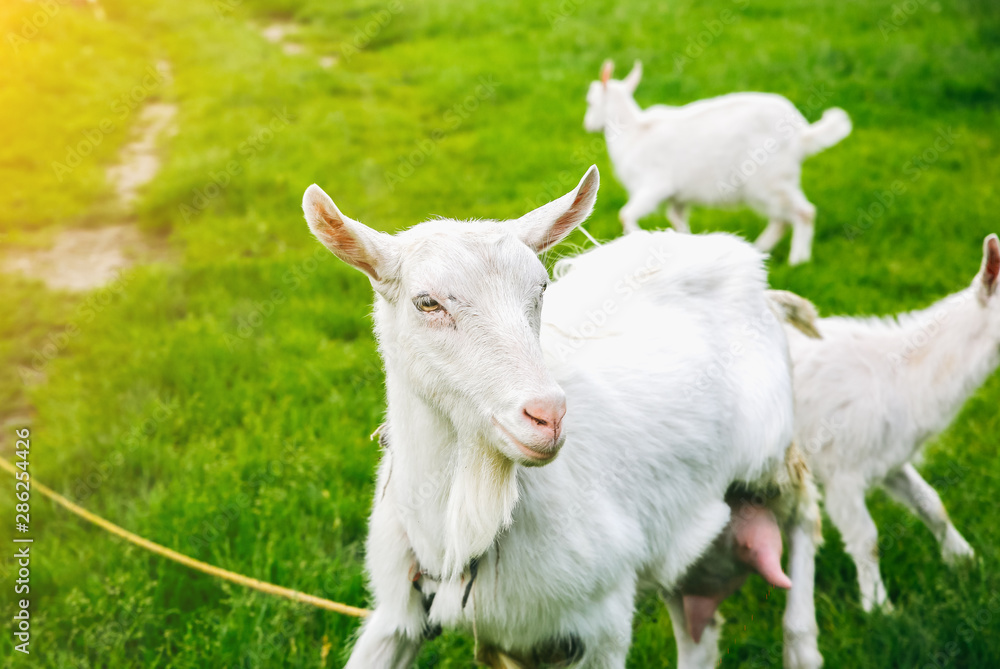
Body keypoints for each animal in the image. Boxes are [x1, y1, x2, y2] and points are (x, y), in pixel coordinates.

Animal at [302, 168, 820, 668]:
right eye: (427, 302)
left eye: (542, 288)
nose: (548, 415)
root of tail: (744, 265)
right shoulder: (399, 615)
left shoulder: (603, 624)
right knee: (700, 633)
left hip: (770, 454)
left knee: (805, 516)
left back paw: (802, 643)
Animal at [584, 59, 852, 264]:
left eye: (590, 102)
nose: (588, 125)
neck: (633, 132)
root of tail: (801, 135)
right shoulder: (678, 197)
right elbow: (676, 220)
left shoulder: (654, 186)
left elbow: (625, 215)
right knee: (782, 219)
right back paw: (759, 250)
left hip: (769, 181)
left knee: (803, 213)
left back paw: (797, 260)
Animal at [788, 234, 992, 612]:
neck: (900, 374)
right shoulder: (842, 474)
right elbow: (866, 538)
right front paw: (879, 608)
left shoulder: (889, 459)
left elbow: (932, 504)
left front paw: (965, 560)